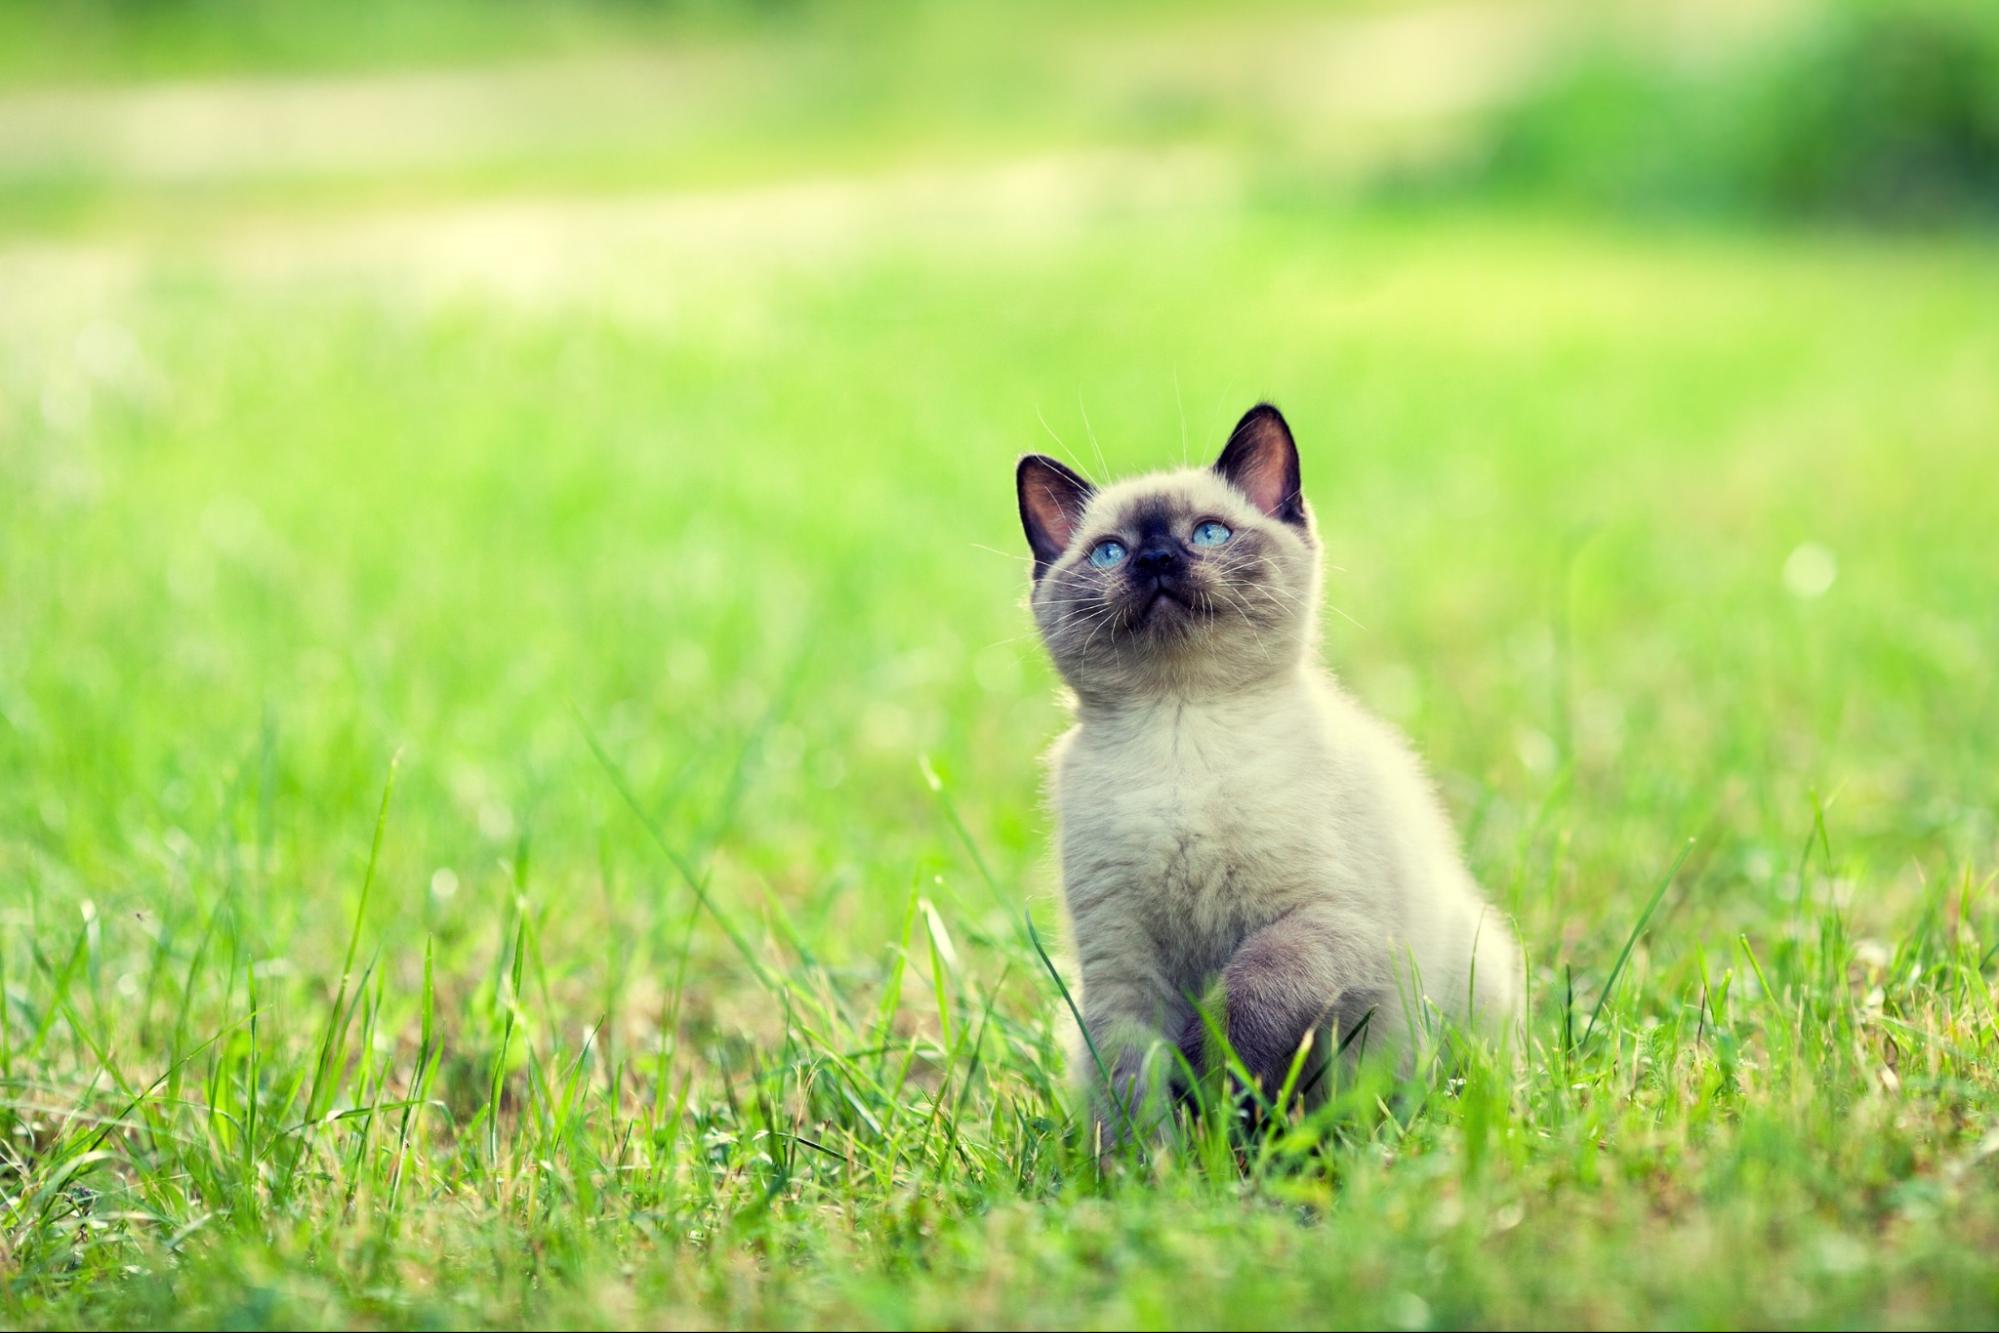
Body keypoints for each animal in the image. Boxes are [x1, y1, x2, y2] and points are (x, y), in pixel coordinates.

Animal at [1023, 401, 1519, 1119]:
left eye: (1209, 533)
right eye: (1110, 551)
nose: (1156, 557)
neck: (1182, 730)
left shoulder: (1323, 918)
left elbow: (1246, 994)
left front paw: (1212, 1078)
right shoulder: (1120, 968)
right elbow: (1131, 1085)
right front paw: (1161, 1148)